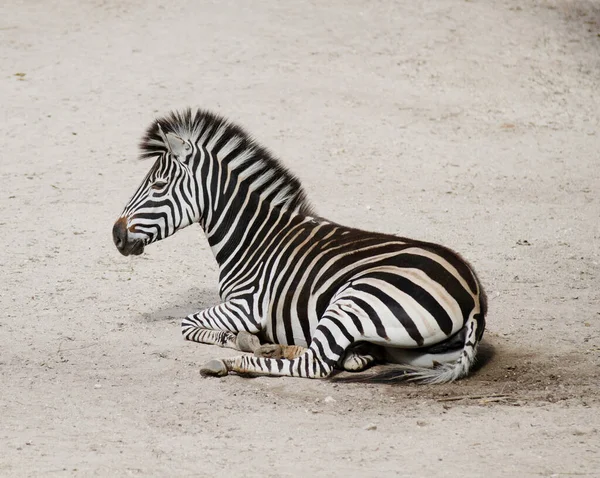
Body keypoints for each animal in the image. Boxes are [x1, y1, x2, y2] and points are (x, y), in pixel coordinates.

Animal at [113, 106, 488, 382]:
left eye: (158, 186)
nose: (116, 235)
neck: (254, 237)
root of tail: (473, 296)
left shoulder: (246, 305)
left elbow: (188, 323)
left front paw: (243, 341)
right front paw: (256, 342)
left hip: (353, 299)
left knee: (315, 364)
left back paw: (232, 364)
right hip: (418, 352)